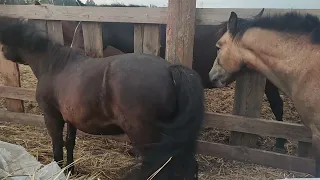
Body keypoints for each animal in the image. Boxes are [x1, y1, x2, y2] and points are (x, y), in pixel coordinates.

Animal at [0, 15, 205, 179]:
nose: (4, 52)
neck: (55, 65)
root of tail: (170, 69)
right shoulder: (71, 119)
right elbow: (69, 143)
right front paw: (70, 170)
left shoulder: (52, 117)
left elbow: (57, 146)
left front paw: (59, 170)